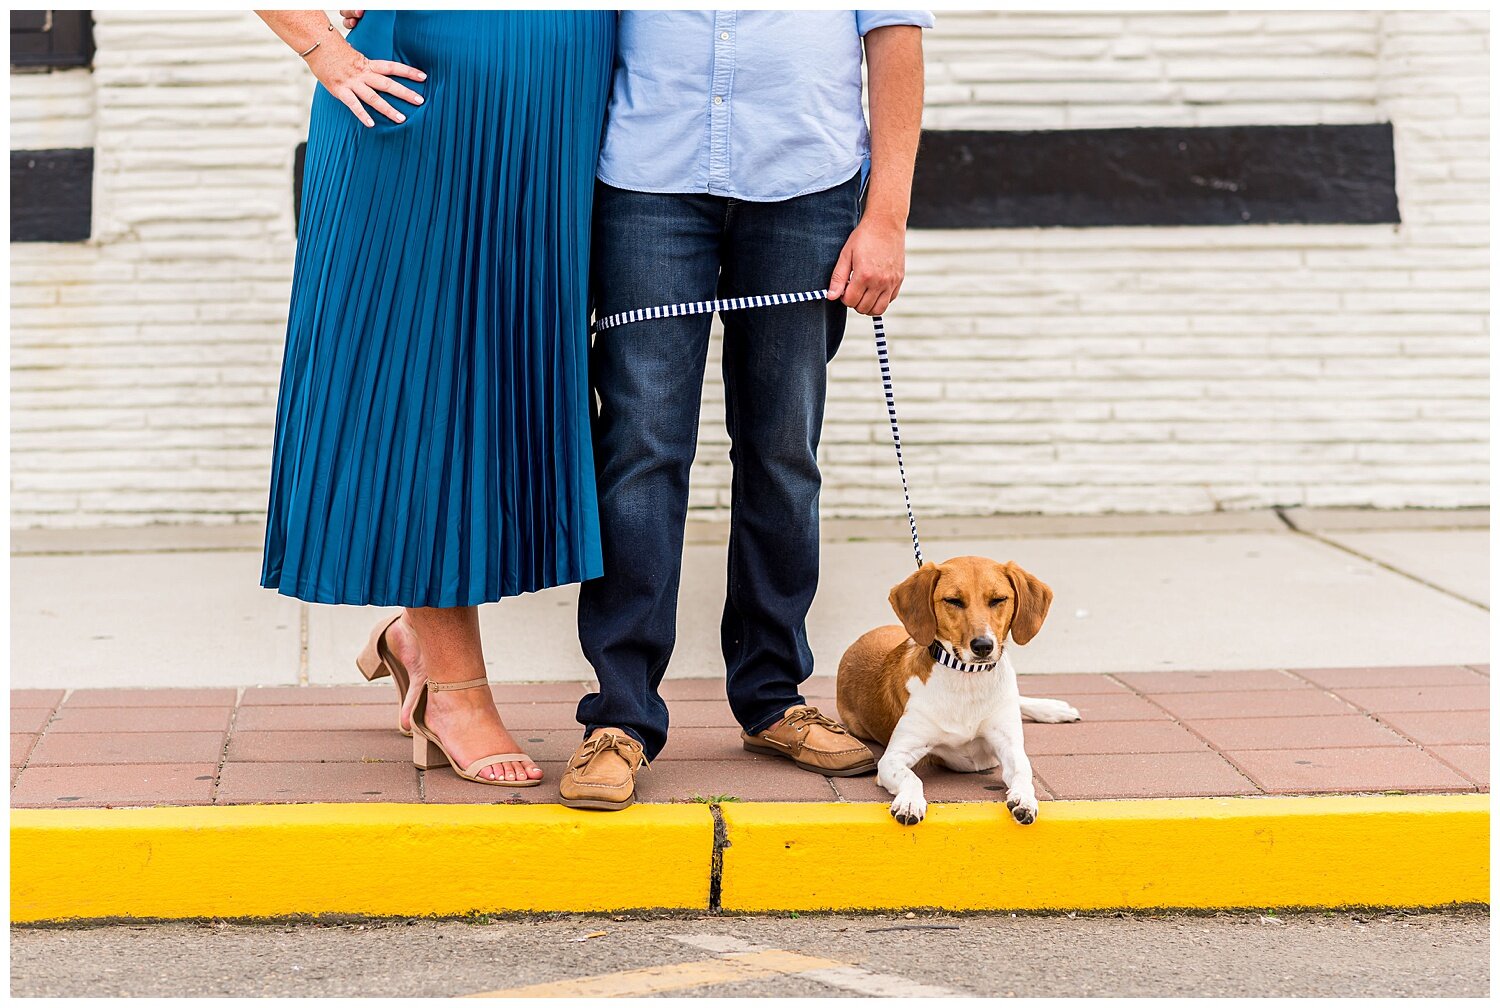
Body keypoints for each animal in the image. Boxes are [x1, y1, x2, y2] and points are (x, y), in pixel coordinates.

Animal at [840, 558, 1086, 828]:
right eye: (953, 600)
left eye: (998, 599)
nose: (983, 646)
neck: (967, 679)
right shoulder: (893, 757)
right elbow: (912, 778)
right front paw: (910, 802)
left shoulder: (1010, 746)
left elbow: (1024, 771)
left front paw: (1025, 799)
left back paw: (1054, 709)